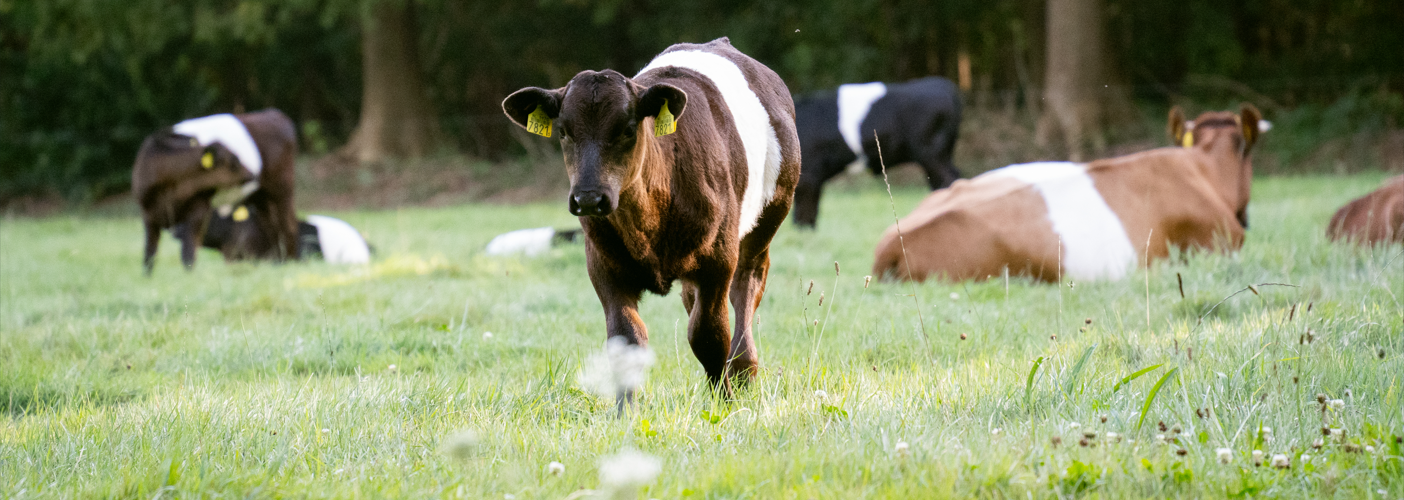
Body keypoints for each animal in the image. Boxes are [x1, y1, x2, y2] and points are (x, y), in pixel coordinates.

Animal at [132, 109, 299, 275]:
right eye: (234, 161)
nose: (253, 174)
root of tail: (272, 113)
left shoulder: (198, 210)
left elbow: (188, 252)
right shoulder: (148, 213)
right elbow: (149, 254)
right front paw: (147, 277)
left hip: (282, 188)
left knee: (288, 225)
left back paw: (289, 263)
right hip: (260, 197)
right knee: (271, 226)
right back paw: (276, 263)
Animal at [502, 37, 801, 397]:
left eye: (628, 129)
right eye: (563, 132)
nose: (588, 197)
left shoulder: (718, 259)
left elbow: (709, 335)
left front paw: (724, 401)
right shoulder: (604, 264)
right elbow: (626, 341)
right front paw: (625, 409)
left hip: (767, 218)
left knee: (747, 283)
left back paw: (744, 370)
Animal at [791, 77, 962, 227]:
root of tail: (942, 84)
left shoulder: (808, 174)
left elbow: (804, 207)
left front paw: (803, 231)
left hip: (931, 153)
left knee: (947, 179)